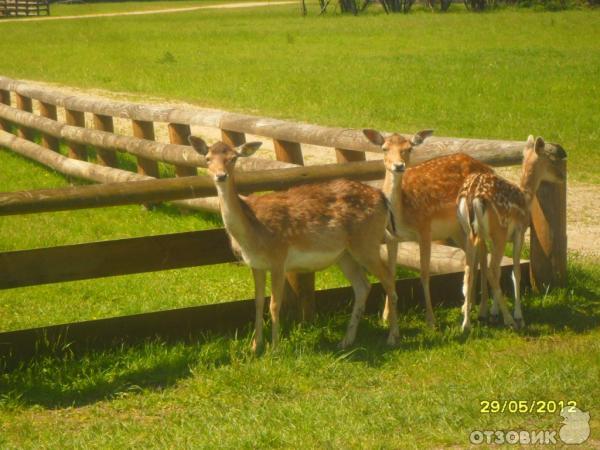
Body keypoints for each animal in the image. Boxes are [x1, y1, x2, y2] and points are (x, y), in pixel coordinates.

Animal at [190, 134, 400, 352]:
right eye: (207, 159)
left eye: (233, 158)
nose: (220, 175)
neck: (252, 233)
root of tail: (383, 199)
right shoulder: (255, 264)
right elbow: (257, 302)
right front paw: (255, 347)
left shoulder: (278, 258)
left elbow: (274, 304)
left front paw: (275, 348)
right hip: (345, 254)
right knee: (362, 286)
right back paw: (346, 340)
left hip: (367, 242)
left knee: (388, 278)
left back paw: (392, 337)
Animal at [360, 128, 492, 328]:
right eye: (384, 148)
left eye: (409, 148)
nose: (398, 166)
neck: (402, 214)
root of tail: (489, 169)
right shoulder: (390, 237)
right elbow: (390, 273)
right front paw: (386, 317)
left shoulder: (425, 229)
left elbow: (424, 274)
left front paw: (430, 320)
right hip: (456, 229)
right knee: (477, 254)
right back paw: (468, 306)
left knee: (484, 253)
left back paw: (483, 308)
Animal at [460, 136, 568, 330]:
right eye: (551, 159)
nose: (562, 176)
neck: (526, 196)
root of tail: (473, 196)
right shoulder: (519, 233)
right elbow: (515, 272)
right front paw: (517, 315)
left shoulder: (487, 238)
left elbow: (492, 271)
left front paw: (492, 312)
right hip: (500, 230)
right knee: (492, 268)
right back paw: (510, 319)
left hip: (469, 232)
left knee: (469, 269)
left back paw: (466, 324)